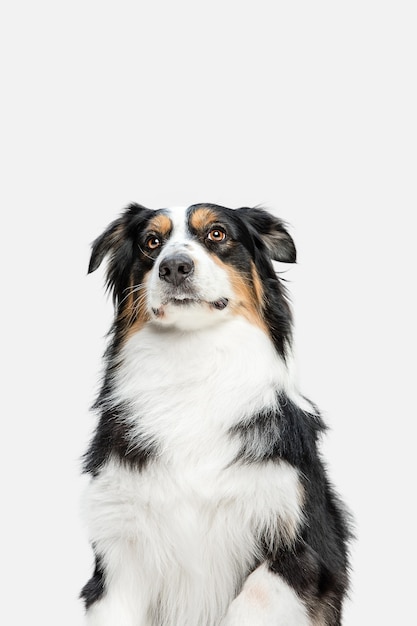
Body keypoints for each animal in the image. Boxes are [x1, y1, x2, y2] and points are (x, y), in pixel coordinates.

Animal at [79, 202, 350, 620]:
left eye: (217, 233)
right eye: (151, 242)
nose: (174, 266)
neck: (193, 361)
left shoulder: (304, 549)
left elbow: (252, 600)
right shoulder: (119, 557)